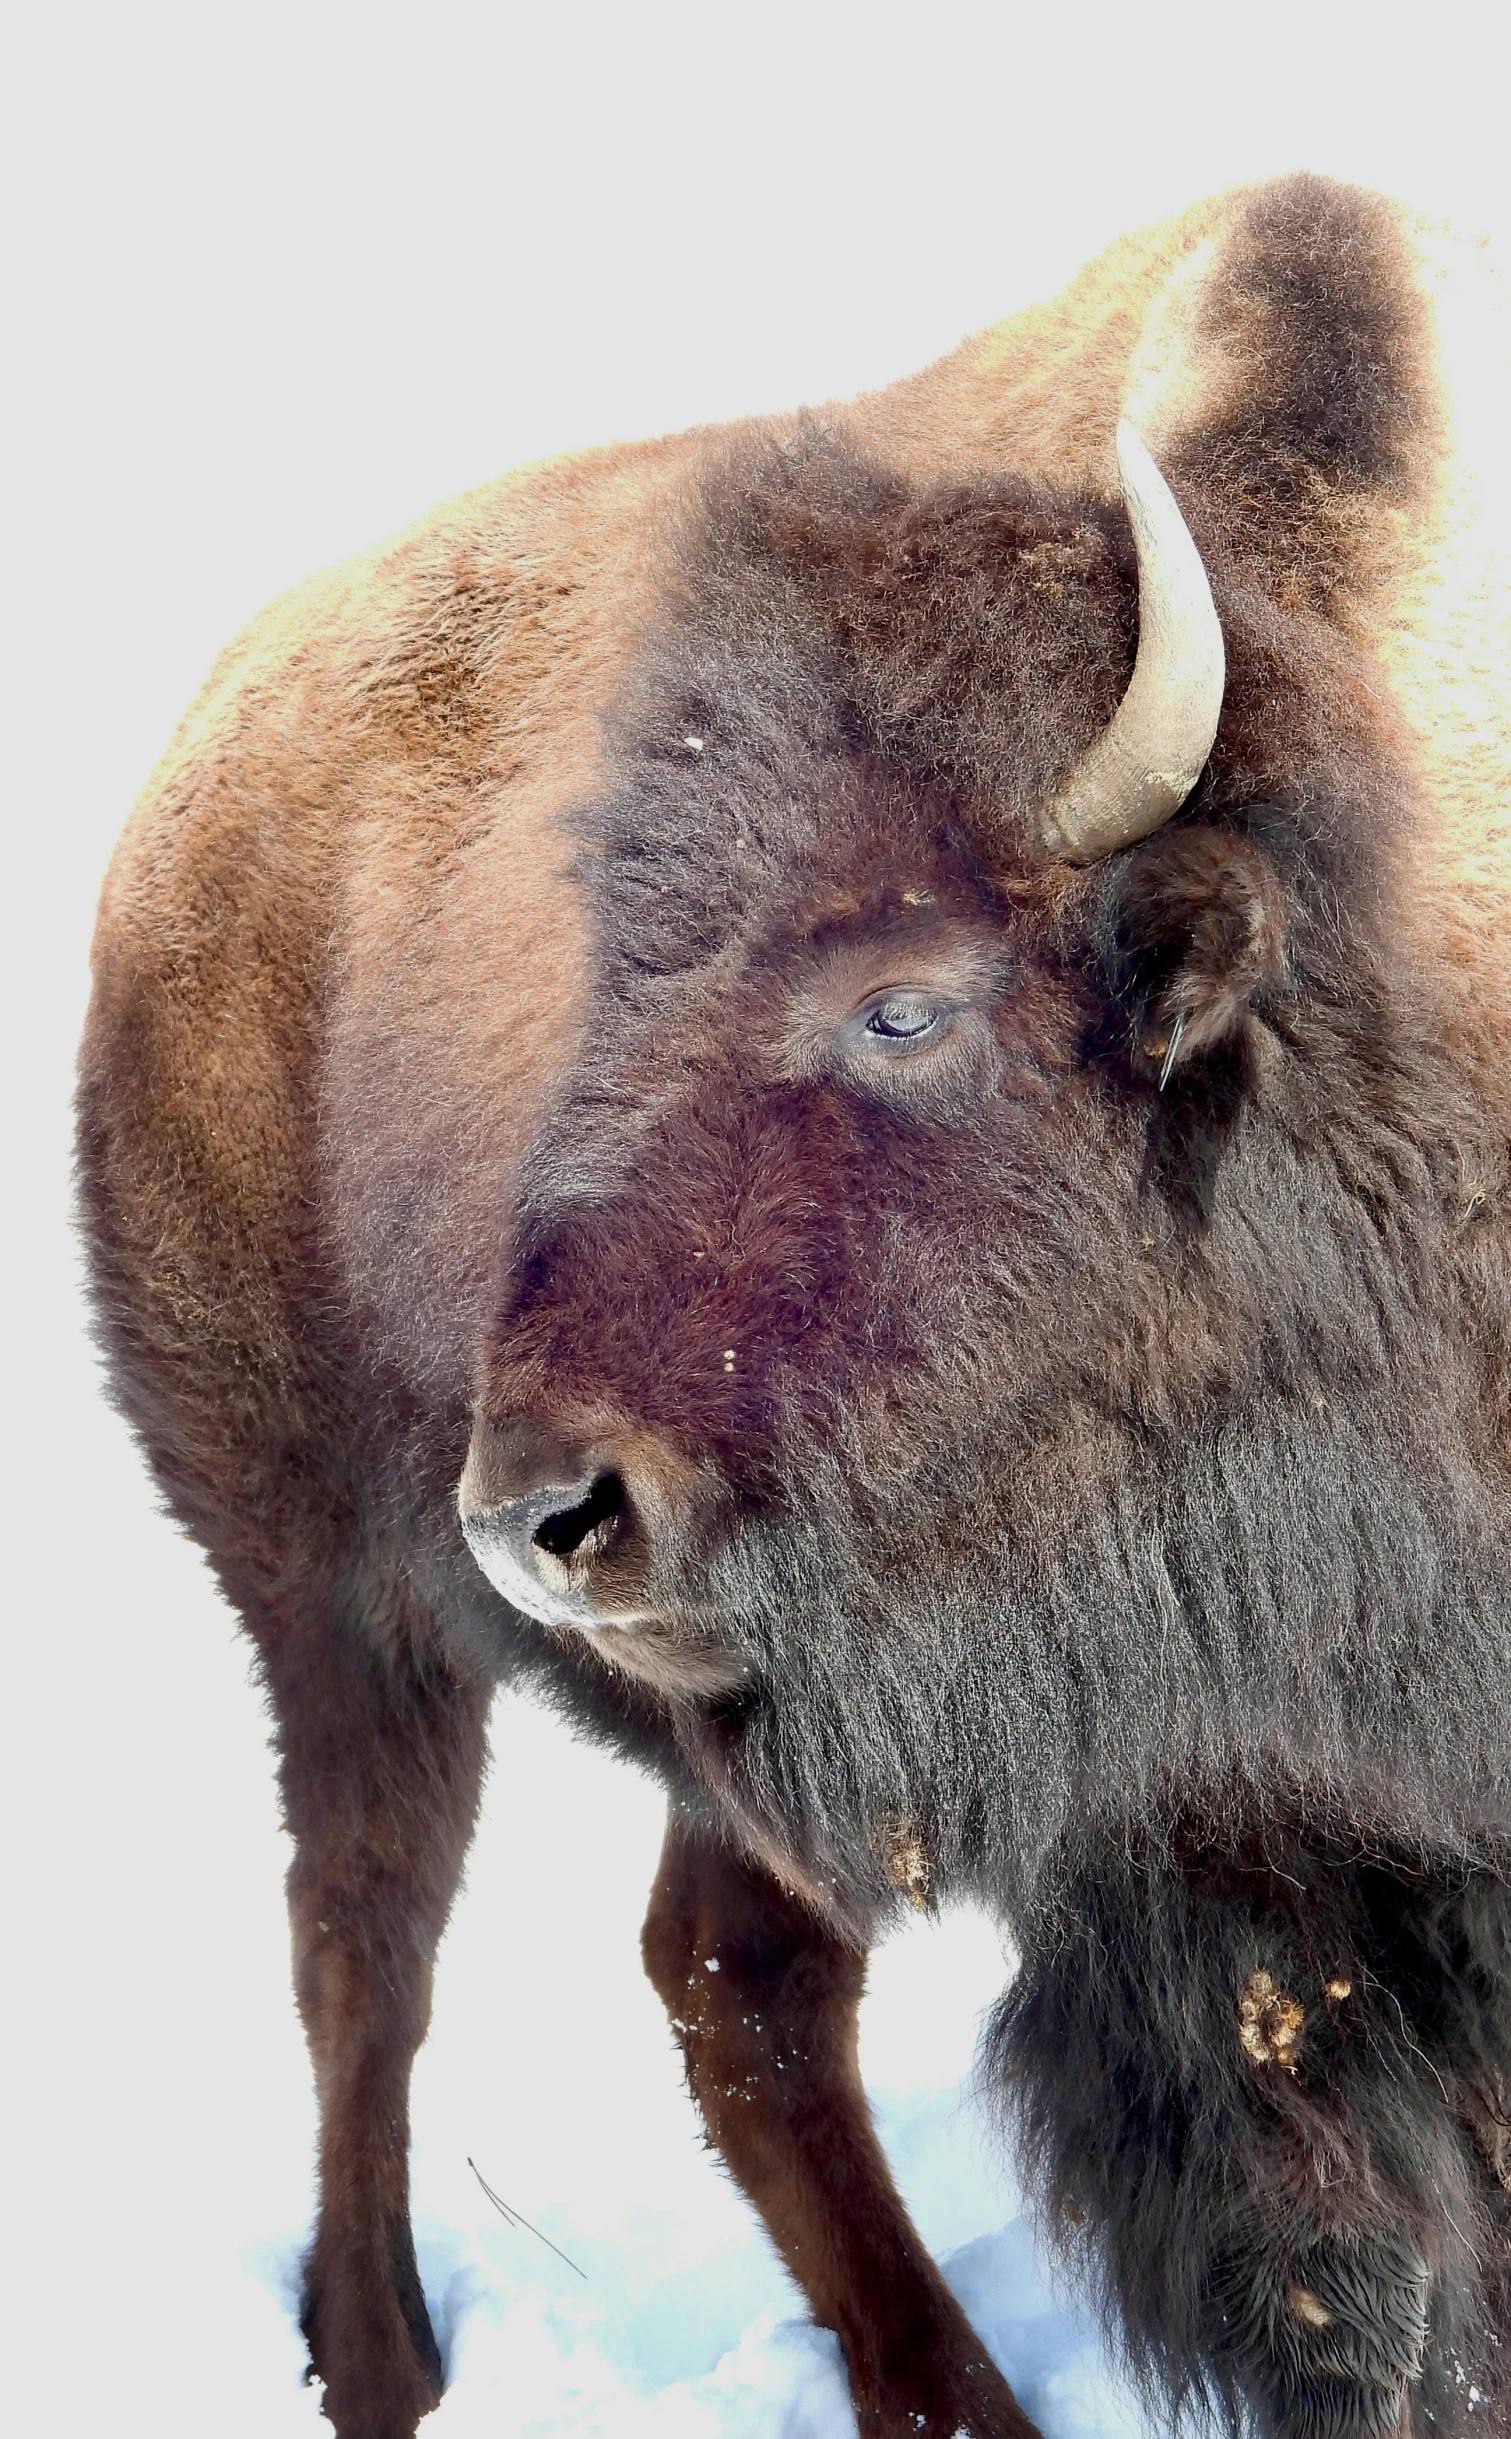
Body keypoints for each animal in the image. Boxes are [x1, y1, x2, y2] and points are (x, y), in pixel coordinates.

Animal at [79, 176, 1511, 2439]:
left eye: (901, 1001)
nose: (546, 1508)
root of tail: (190, 775)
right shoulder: (1233, 1861)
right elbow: (1373, 2259)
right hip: (330, 1604)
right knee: (363, 1945)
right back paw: (385, 2363)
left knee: (727, 1976)